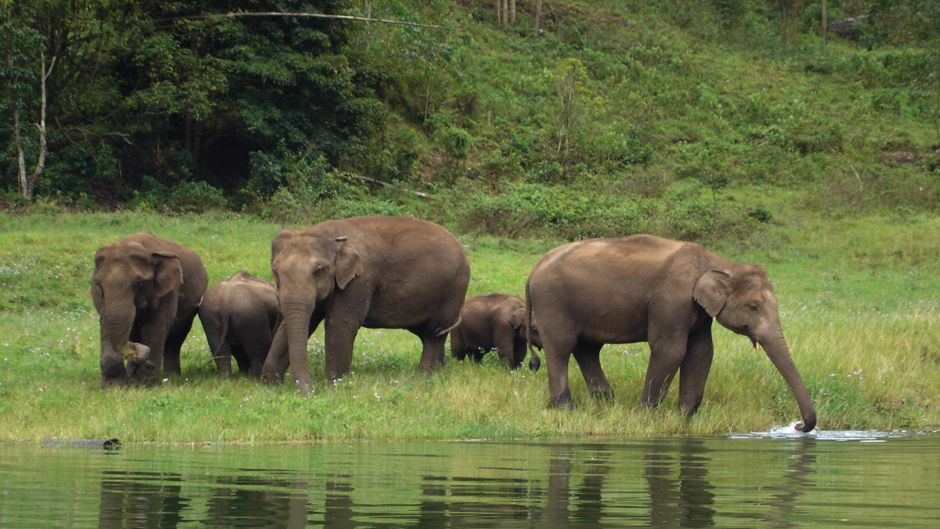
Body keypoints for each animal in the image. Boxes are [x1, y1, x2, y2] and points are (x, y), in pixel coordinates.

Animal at [91, 232, 208, 387]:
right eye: (98, 284)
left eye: (138, 282)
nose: (134, 351)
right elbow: (107, 324)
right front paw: (114, 386)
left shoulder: (170, 290)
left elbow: (156, 327)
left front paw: (147, 385)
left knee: (175, 339)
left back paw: (171, 377)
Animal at [261, 215, 471, 394]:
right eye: (275, 270)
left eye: (319, 270)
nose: (310, 391)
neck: (330, 237)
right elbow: (301, 322)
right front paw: (270, 384)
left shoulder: (360, 279)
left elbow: (340, 323)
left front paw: (334, 385)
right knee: (428, 334)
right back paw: (439, 371)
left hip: (453, 289)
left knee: (434, 333)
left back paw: (423, 377)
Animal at [526, 234, 816, 432]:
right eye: (754, 306)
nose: (798, 426)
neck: (717, 262)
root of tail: (534, 269)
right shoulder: (671, 299)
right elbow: (671, 350)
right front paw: (645, 416)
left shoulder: (698, 310)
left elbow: (701, 352)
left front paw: (685, 417)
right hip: (552, 301)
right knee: (561, 347)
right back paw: (567, 408)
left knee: (587, 348)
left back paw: (607, 403)